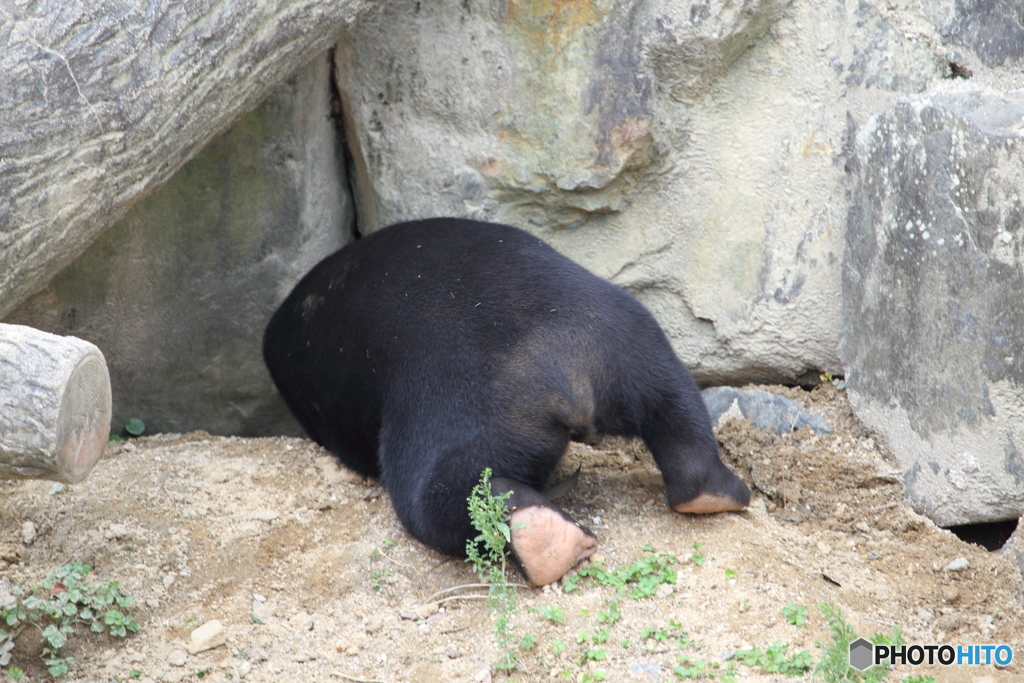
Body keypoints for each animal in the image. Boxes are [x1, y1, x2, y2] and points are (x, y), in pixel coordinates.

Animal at [260, 220, 749, 589]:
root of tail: (560, 372)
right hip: (629, 340)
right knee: (674, 404)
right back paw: (714, 492)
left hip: (460, 406)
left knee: (435, 490)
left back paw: (545, 542)